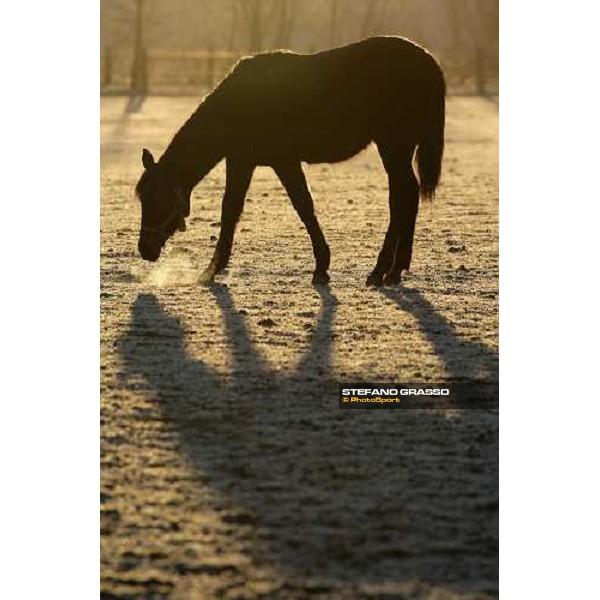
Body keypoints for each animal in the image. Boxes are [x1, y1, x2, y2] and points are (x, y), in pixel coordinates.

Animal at [137, 36, 446, 288]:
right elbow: (231, 209)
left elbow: (303, 205)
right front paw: (213, 268)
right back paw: (395, 269)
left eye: (157, 200)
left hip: (394, 146)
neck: (240, 103)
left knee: (402, 197)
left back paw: (382, 270)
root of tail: (428, 61)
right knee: (407, 194)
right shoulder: (241, 160)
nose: (145, 249)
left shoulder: (283, 160)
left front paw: (321, 266)